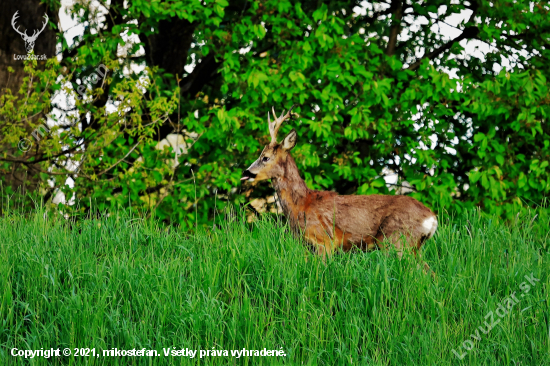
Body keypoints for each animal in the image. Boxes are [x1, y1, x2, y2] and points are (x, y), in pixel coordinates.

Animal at [242, 104, 440, 268]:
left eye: (265, 157)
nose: (246, 172)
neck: (301, 205)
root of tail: (432, 218)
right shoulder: (306, 245)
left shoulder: (324, 240)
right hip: (412, 246)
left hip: (397, 239)